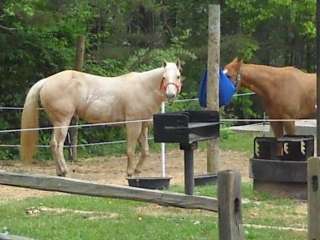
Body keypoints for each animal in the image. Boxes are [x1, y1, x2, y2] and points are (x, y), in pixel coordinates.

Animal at [20, 61, 182, 177]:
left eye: (178, 76)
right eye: (164, 77)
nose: (171, 95)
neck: (143, 87)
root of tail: (47, 81)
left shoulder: (143, 125)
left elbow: (145, 151)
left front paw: (137, 171)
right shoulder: (133, 124)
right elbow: (130, 150)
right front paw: (129, 172)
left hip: (57, 123)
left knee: (52, 144)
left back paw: (59, 172)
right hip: (63, 122)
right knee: (57, 145)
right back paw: (64, 170)